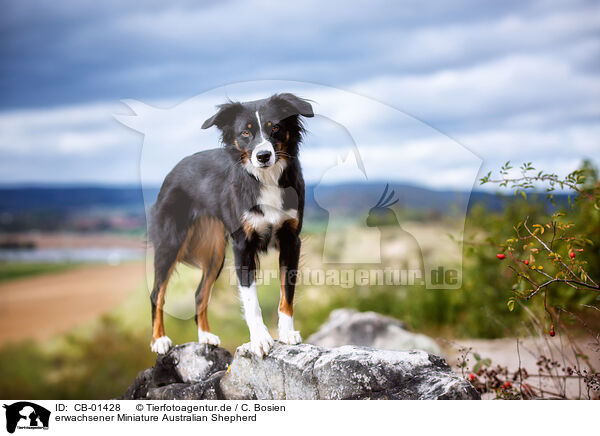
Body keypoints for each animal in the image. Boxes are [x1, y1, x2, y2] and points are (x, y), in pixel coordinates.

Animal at [148, 93, 314, 356]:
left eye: (275, 127)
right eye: (245, 132)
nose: (263, 156)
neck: (265, 179)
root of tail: (173, 171)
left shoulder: (291, 240)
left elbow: (286, 293)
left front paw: (287, 333)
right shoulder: (242, 246)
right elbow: (251, 300)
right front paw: (260, 339)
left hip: (215, 253)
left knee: (199, 294)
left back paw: (205, 336)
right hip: (170, 244)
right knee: (157, 293)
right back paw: (159, 340)